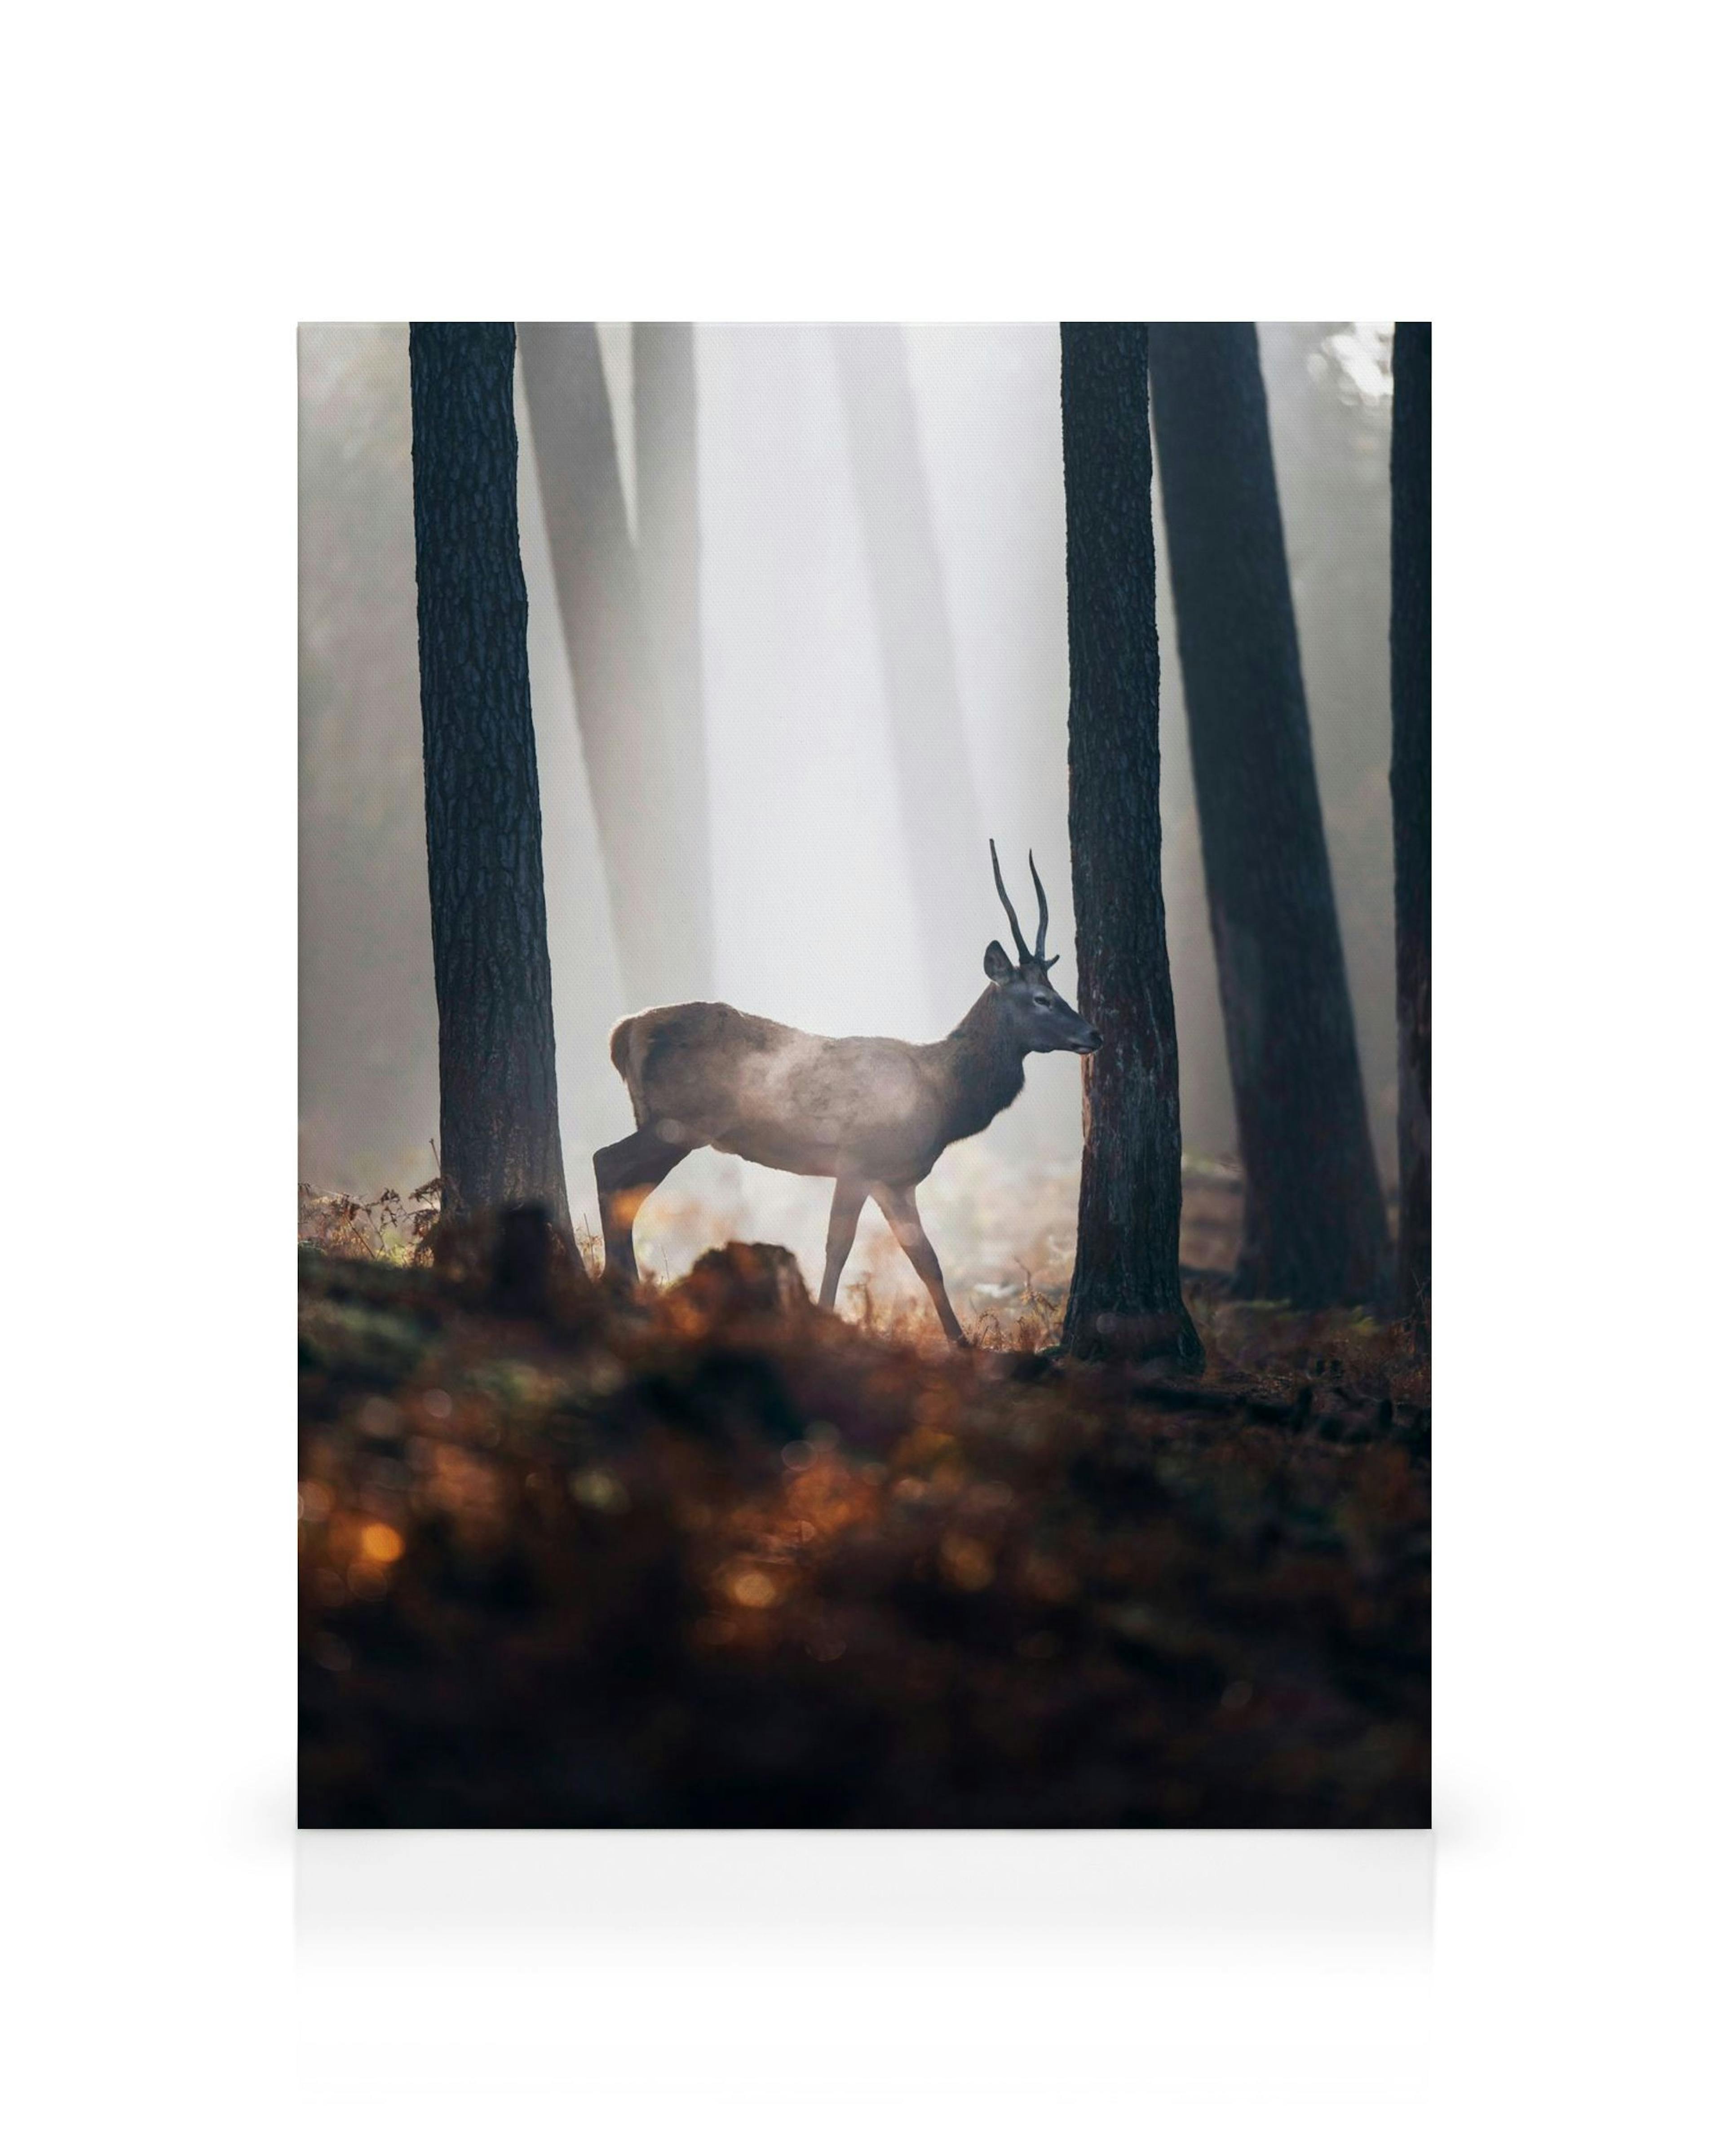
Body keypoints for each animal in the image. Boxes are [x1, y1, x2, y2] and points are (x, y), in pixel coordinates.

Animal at [593, 843, 1102, 1344]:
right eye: (1041, 999)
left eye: (1056, 990)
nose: (1093, 1033)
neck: (944, 1098)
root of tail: (623, 1032)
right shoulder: (858, 1159)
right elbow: (838, 1246)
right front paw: (823, 1320)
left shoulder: (894, 1179)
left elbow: (927, 1260)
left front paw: (961, 1343)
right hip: (680, 1121)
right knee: (607, 1162)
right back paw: (619, 1289)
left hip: (667, 1122)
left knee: (626, 1188)